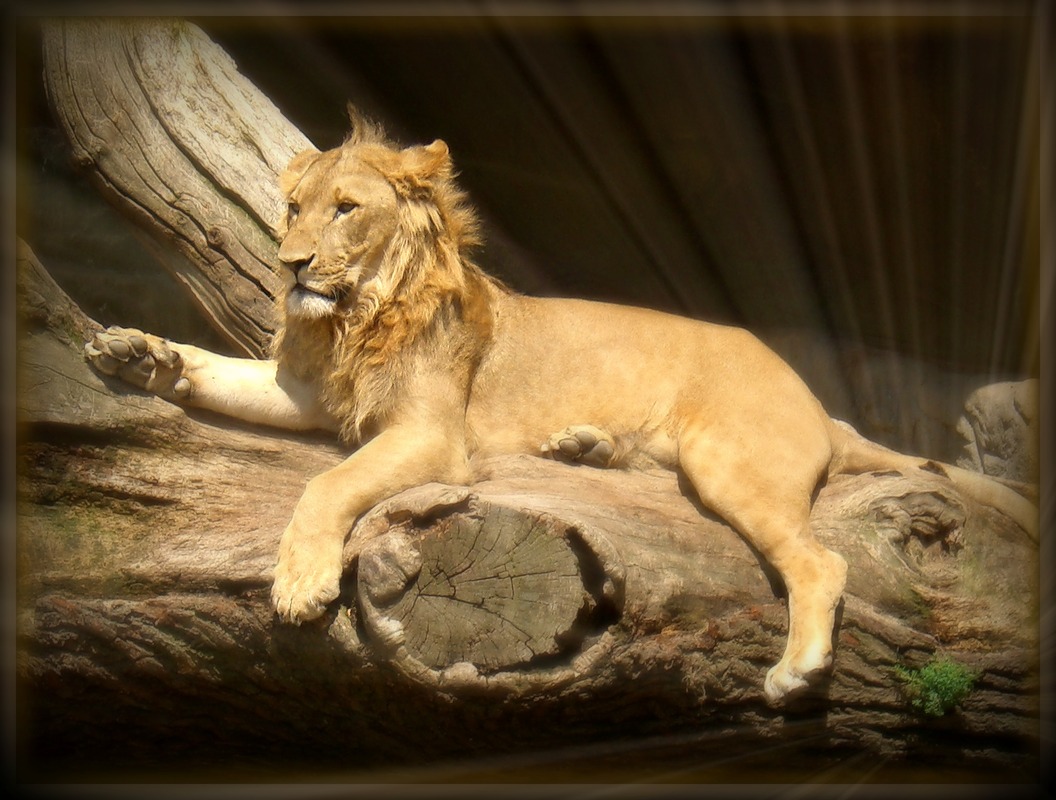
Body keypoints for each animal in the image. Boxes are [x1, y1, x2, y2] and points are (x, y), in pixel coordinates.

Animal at [85, 113, 1037, 703]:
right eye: (292, 208)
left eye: (345, 210)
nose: (290, 266)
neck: (356, 317)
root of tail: (817, 400)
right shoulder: (305, 391)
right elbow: (218, 372)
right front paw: (138, 354)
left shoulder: (431, 435)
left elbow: (328, 486)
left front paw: (300, 584)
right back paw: (582, 447)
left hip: (729, 461)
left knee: (821, 563)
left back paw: (797, 670)